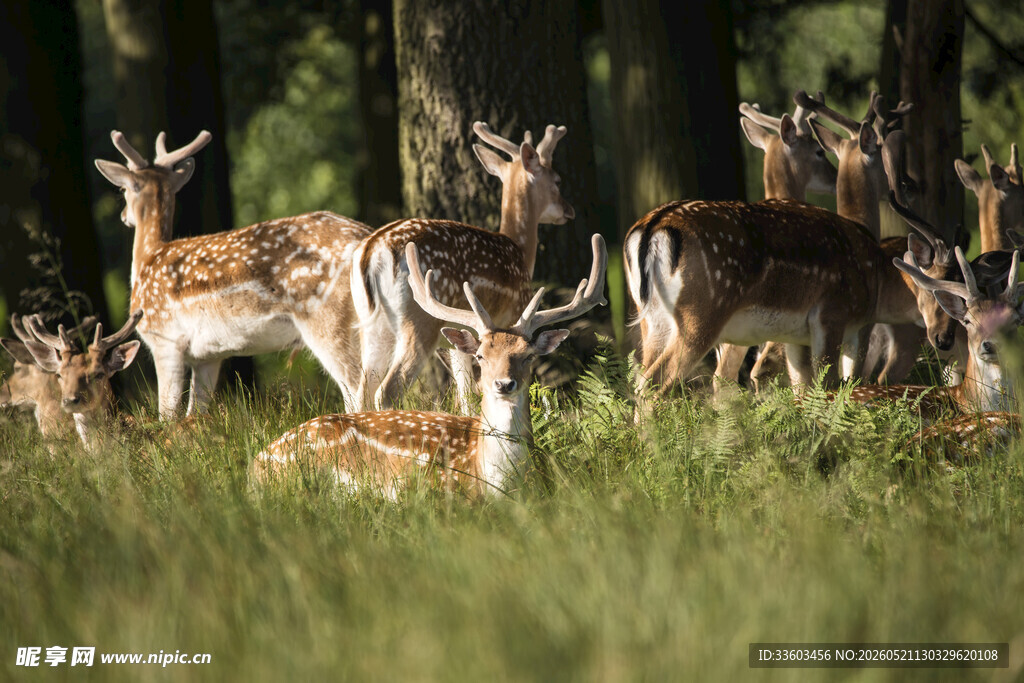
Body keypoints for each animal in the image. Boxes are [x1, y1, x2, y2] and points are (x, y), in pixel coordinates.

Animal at [94, 130, 371, 419]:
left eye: (122, 190)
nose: (124, 216)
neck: (148, 258)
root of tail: (365, 238)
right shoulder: (208, 357)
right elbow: (195, 414)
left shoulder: (164, 339)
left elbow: (167, 415)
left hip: (328, 321)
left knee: (357, 388)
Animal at [350, 121, 575, 414]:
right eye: (557, 180)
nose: (568, 210)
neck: (520, 250)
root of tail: (372, 250)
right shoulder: (512, 314)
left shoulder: (458, 343)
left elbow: (465, 395)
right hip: (418, 321)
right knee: (387, 390)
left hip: (372, 326)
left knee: (360, 391)